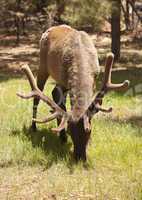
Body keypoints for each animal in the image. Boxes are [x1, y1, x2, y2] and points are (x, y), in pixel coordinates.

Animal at [16, 25, 130, 162]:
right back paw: (34, 127)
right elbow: (60, 103)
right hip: (43, 65)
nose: (79, 158)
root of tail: (52, 28)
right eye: (70, 131)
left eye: (89, 131)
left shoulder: (94, 81)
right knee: (39, 96)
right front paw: (62, 136)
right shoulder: (64, 81)